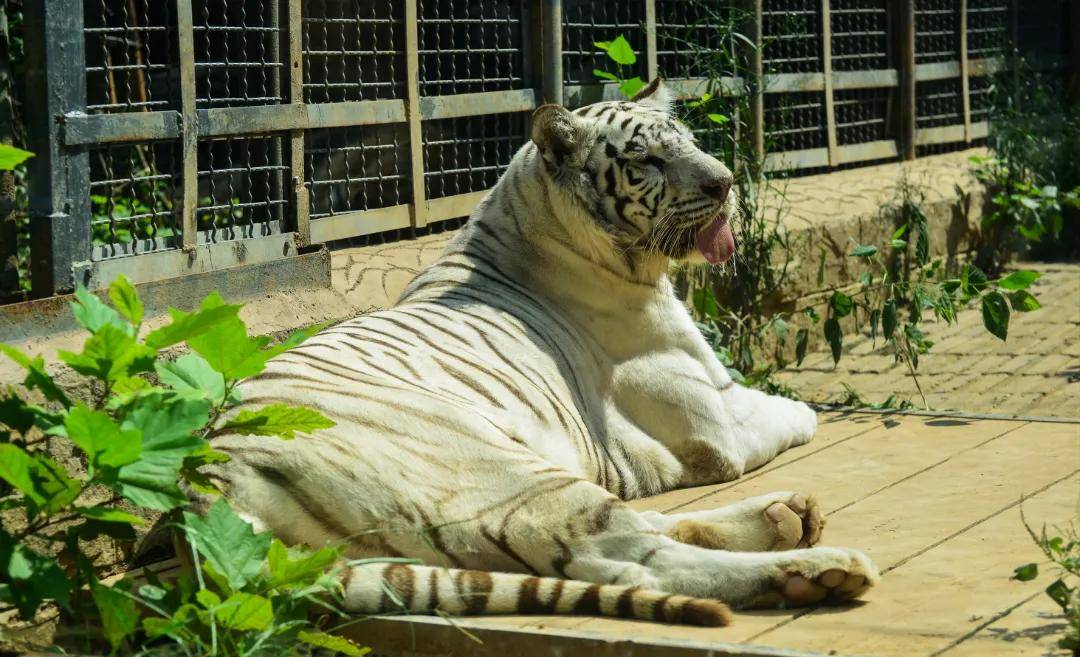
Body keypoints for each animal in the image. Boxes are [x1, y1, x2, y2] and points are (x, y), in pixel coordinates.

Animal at [203, 79, 876, 622]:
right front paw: (806, 414)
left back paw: (784, 516)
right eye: (647, 158)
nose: (724, 182)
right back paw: (814, 570)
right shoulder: (717, 422)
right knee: (632, 557)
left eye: (686, 141)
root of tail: (214, 472)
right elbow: (796, 412)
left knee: (641, 529)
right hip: (501, 476)